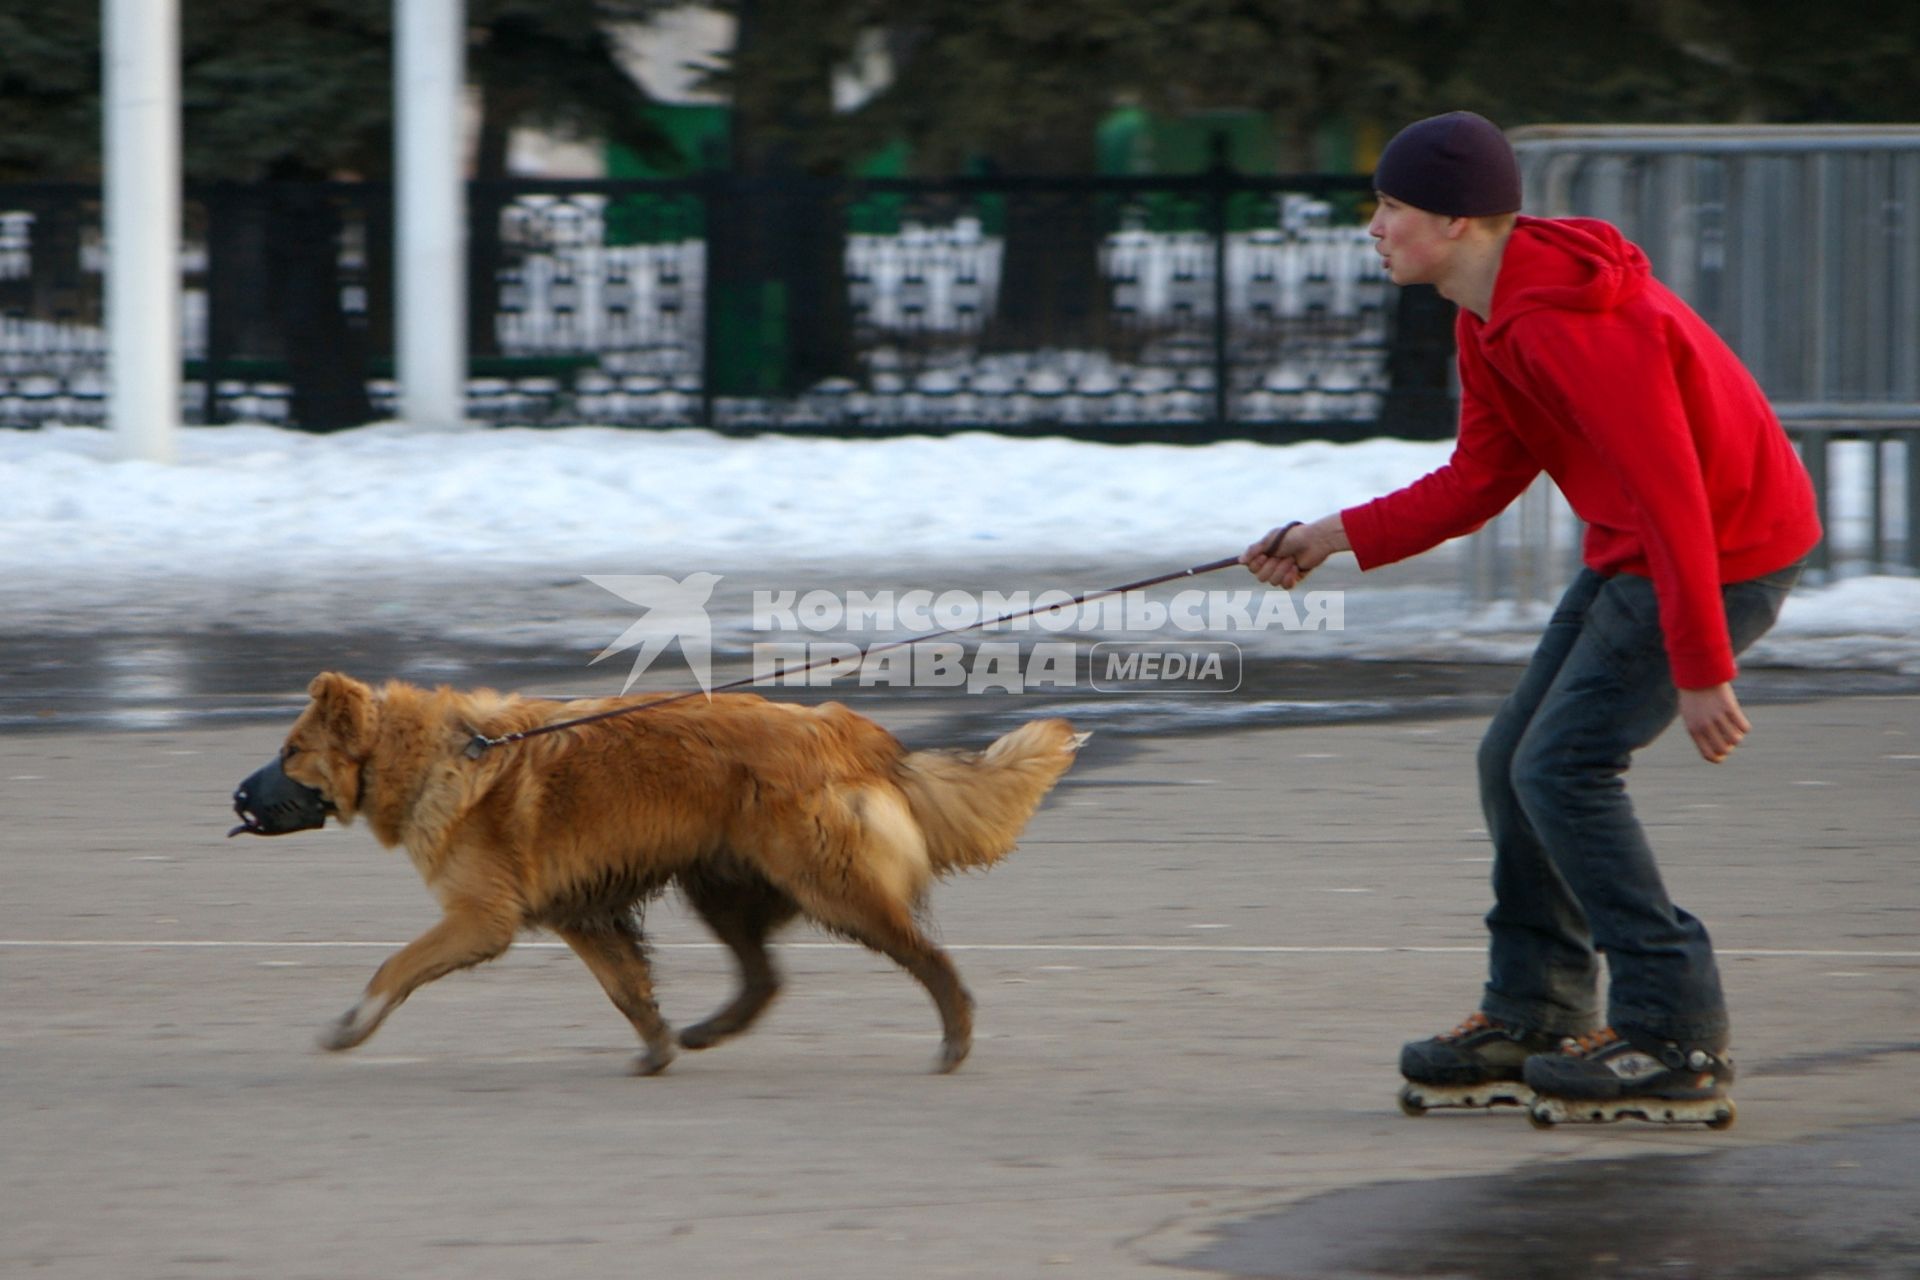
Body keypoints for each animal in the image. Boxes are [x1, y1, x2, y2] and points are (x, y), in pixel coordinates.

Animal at [228, 675, 1082, 1074]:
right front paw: (658, 1047)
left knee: (928, 959)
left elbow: (394, 967)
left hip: (830, 885)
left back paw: (955, 1039)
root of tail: (850, 732)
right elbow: (626, 988)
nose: (234, 796)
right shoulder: (576, 914)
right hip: (725, 886)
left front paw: (351, 1024)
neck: (437, 752)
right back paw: (708, 1030)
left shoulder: (480, 918)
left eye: (292, 752)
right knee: (764, 977)